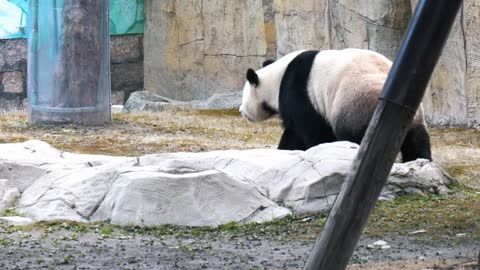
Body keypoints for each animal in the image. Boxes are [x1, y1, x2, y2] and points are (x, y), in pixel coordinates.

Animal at [239, 48, 432, 162]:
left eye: (243, 97)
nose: (241, 111)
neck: (277, 77)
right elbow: (295, 132)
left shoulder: (297, 91)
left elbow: (310, 130)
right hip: (414, 114)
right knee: (416, 139)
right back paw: (419, 161)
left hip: (355, 102)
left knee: (352, 135)